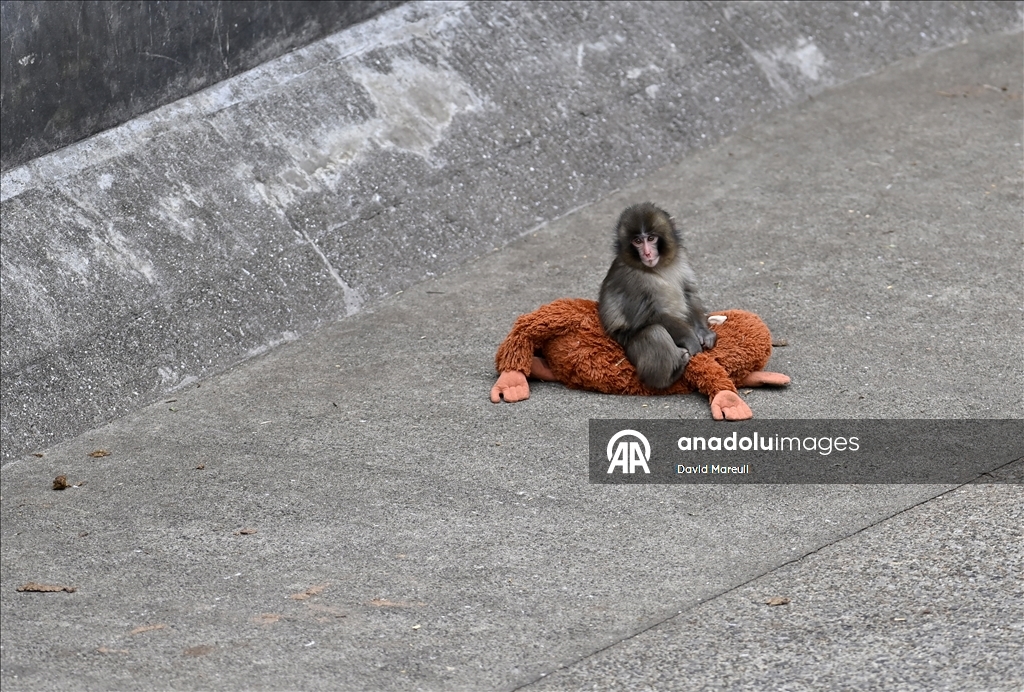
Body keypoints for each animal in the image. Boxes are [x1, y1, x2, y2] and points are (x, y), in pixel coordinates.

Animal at [598, 202, 717, 390]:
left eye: (651, 238)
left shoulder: (681, 257)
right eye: (638, 241)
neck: (656, 267)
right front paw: (691, 339)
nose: (647, 253)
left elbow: (688, 292)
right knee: (654, 332)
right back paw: (669, 376)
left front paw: (703, 333)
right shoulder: (631, 280)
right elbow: (650, 316)